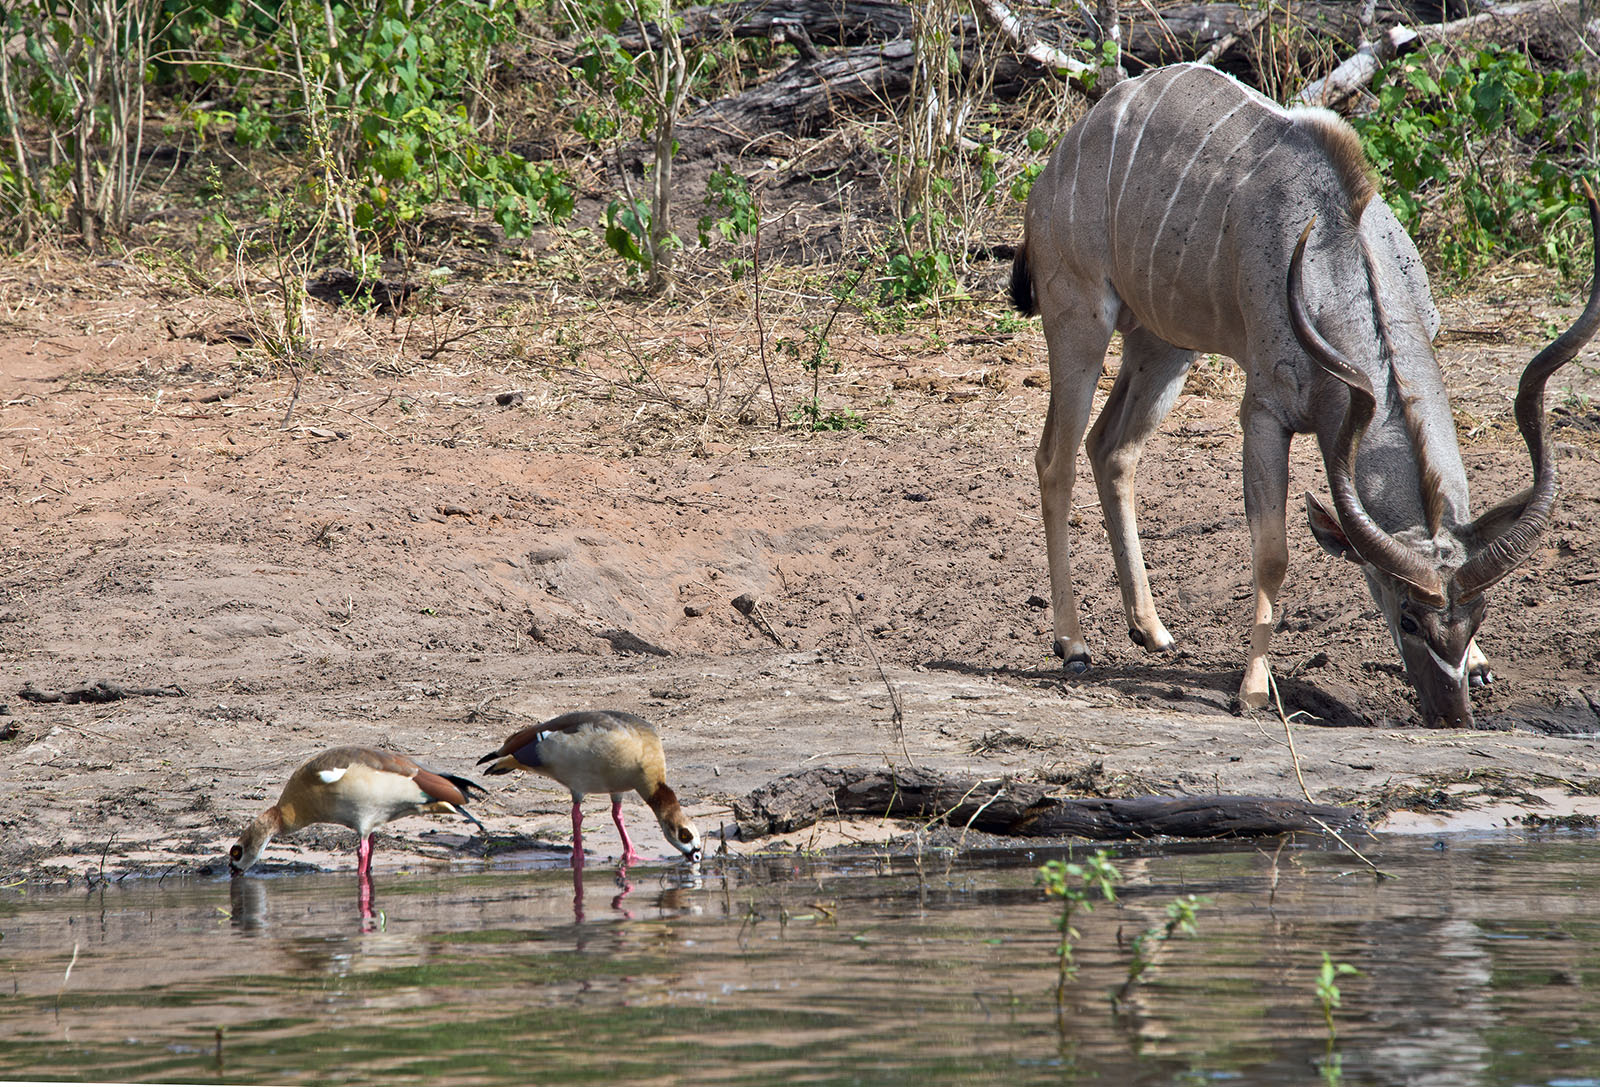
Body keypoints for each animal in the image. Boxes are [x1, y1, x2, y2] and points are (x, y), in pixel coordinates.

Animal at [1011, 62, 1600, 727]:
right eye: (1408, 620)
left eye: (1477, 616)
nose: (1452, 718)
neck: (1335, 262)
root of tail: (1062, 157)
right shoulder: (1265, 412)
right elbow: (1273, 552)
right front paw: (1252, 690)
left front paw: (1479, 665)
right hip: (1079, 321)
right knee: (1055, 458)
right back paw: (1073, 645)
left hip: (1164, 345)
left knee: (1111, 448)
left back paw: (1152, 630)